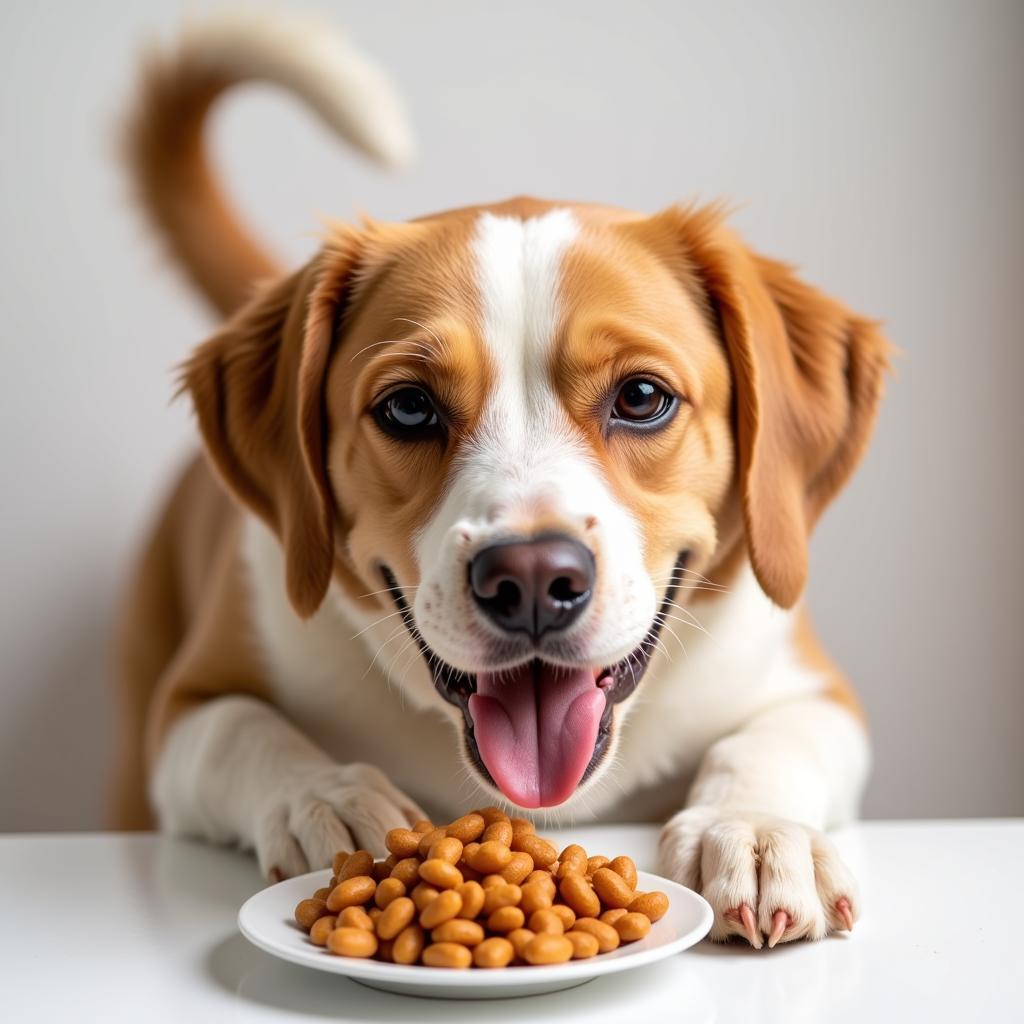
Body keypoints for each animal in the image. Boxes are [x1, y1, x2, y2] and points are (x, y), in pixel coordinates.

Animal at [114, 12, 888, 946]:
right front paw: (326, 793)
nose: (530, 580)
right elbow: (238, 728)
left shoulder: (810, 684)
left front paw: (757, 828)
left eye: (642, 397)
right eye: (409, 407)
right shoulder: (179, 712)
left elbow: (777, 738)